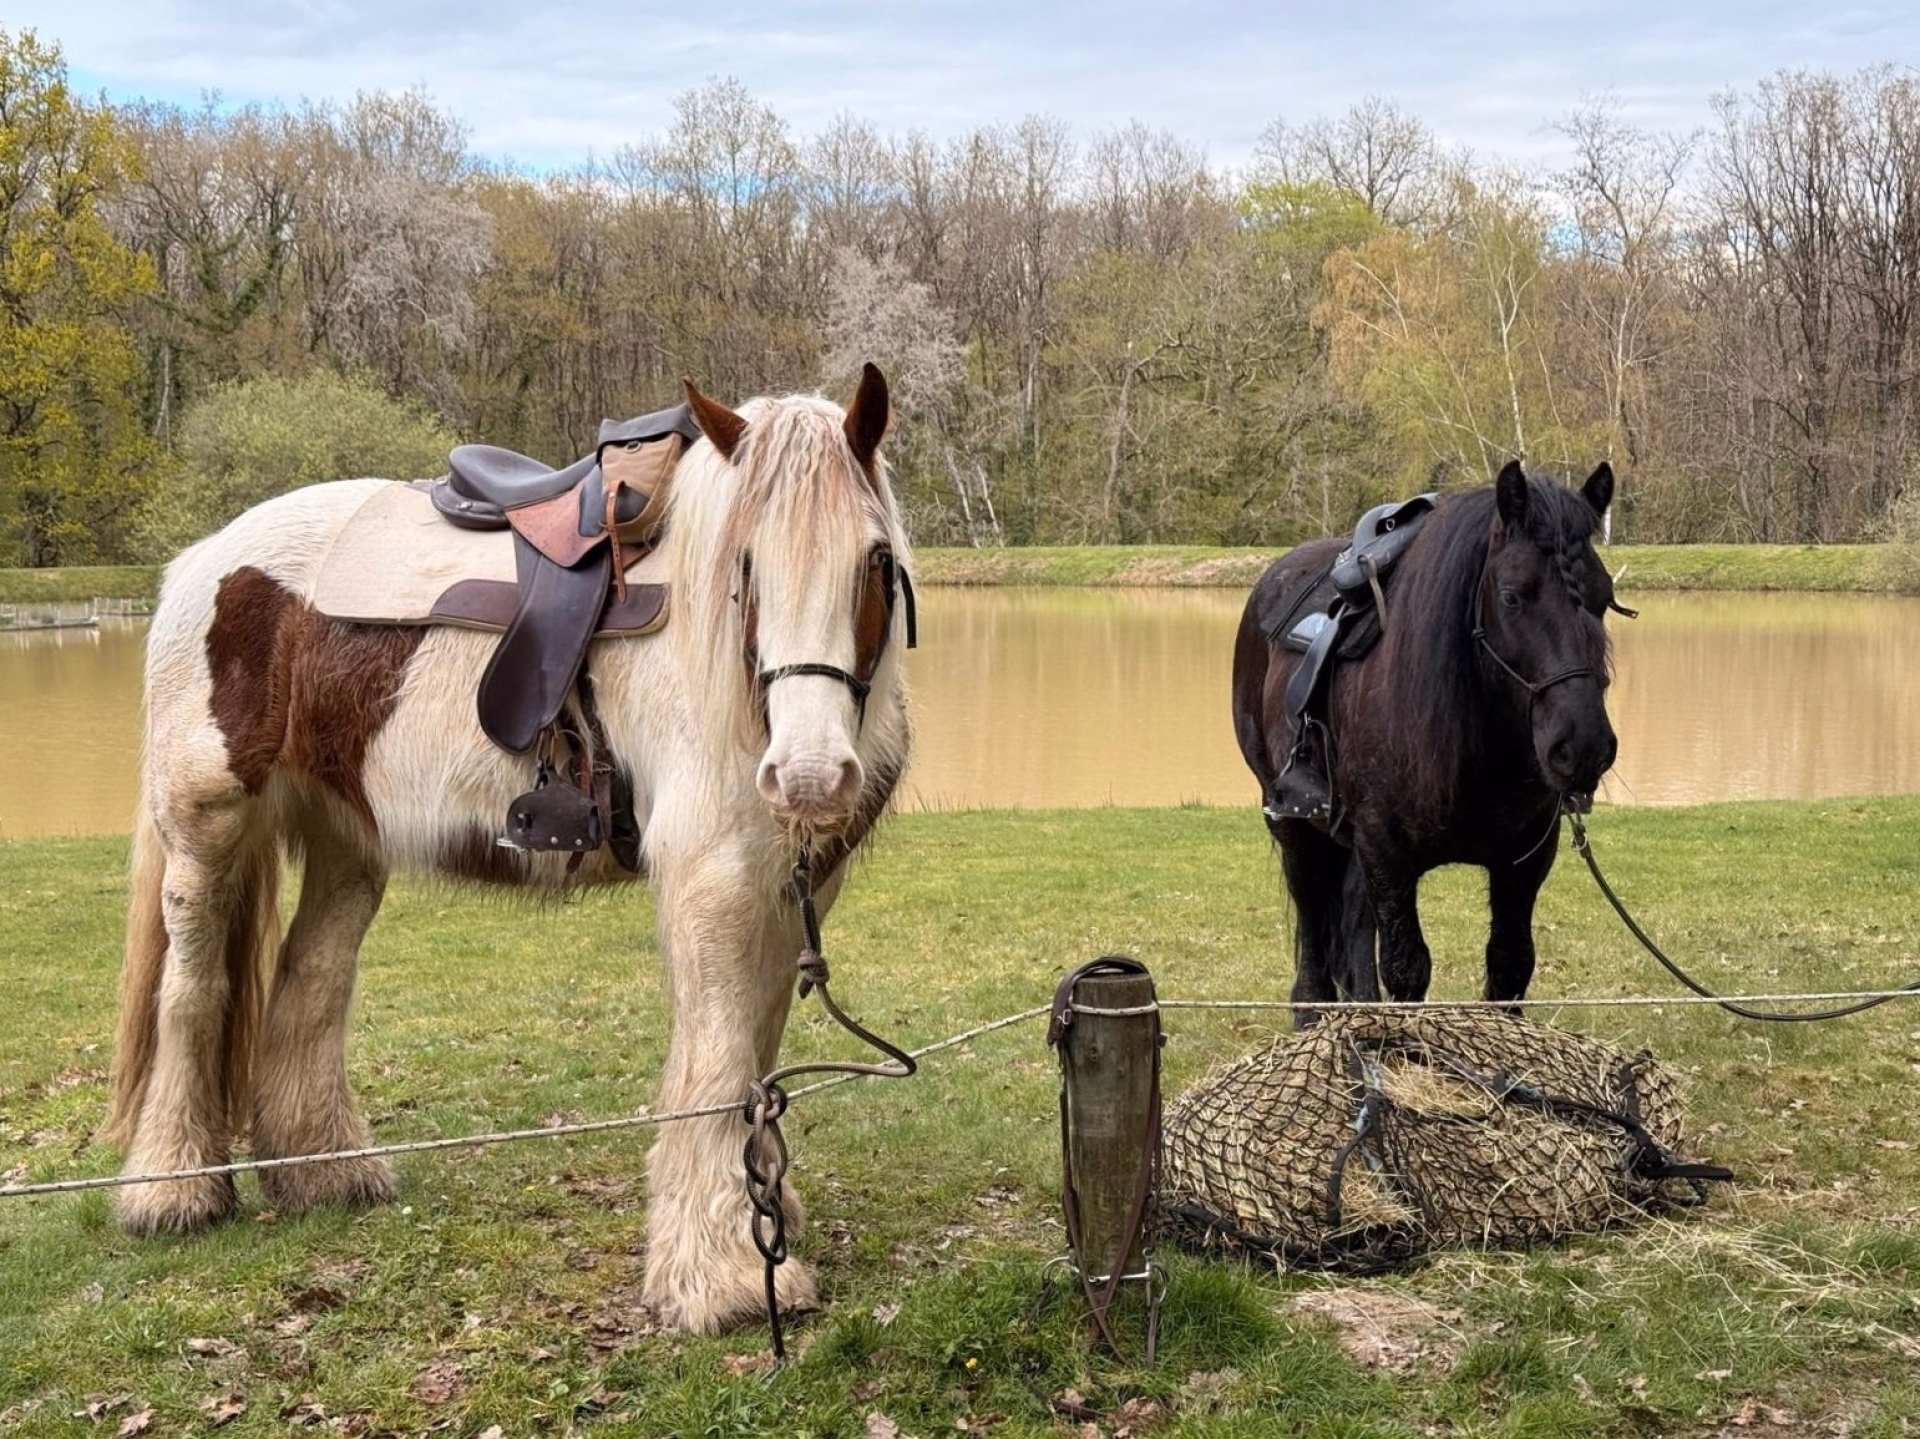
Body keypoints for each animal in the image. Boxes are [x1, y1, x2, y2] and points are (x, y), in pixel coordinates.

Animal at [102, 366, 913, 1334]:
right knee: (192, 989)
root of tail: (199, 562)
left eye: (874, 559)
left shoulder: (795, 883)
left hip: (347, 839)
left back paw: (323, 1172)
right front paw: (719, 1275)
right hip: (208, 826)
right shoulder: (711, 875)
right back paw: (172, 1187)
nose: (810, 775)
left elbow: (758, 1049)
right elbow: (718, 1057)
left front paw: (766, 1216)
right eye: (745, 565)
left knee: (311, 978)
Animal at [1231, 460, 1622, 1017]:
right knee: (1312, 925)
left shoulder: (1522, 860)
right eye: (1511, 596)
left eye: (1604, 598)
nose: (1584, 746)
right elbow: (1407, 969)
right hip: (1290, 821)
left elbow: (1510, 966)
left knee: (1352, 921)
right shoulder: (1386, 851)